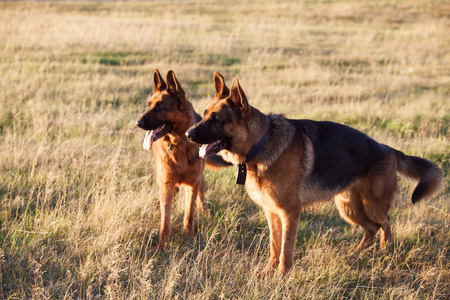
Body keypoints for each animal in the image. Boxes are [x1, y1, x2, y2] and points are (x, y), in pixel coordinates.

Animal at [134, 69, 229, 251]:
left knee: (201, 198)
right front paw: (162, 244)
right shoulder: (166, 183)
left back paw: (206, 214)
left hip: (199, 180)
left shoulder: (192, 183)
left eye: (160, 107)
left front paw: (190, 236)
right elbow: (165, 218)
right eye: (149, 105)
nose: (137, 122)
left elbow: (189, 213)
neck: (177, 144)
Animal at [185, 71, 442, 276]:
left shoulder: (289, 212)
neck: (260, 143)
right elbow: (274, 245)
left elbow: (286, 248)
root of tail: (388, 149)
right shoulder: (272, 212)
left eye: (216, 119)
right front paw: (268, 272)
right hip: (348, 207)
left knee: (385, 224)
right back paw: (356, 254)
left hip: (372, 205)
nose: (187, 134)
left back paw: (384, 253)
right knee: (371, 229)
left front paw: (282, 276)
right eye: (204, 114)